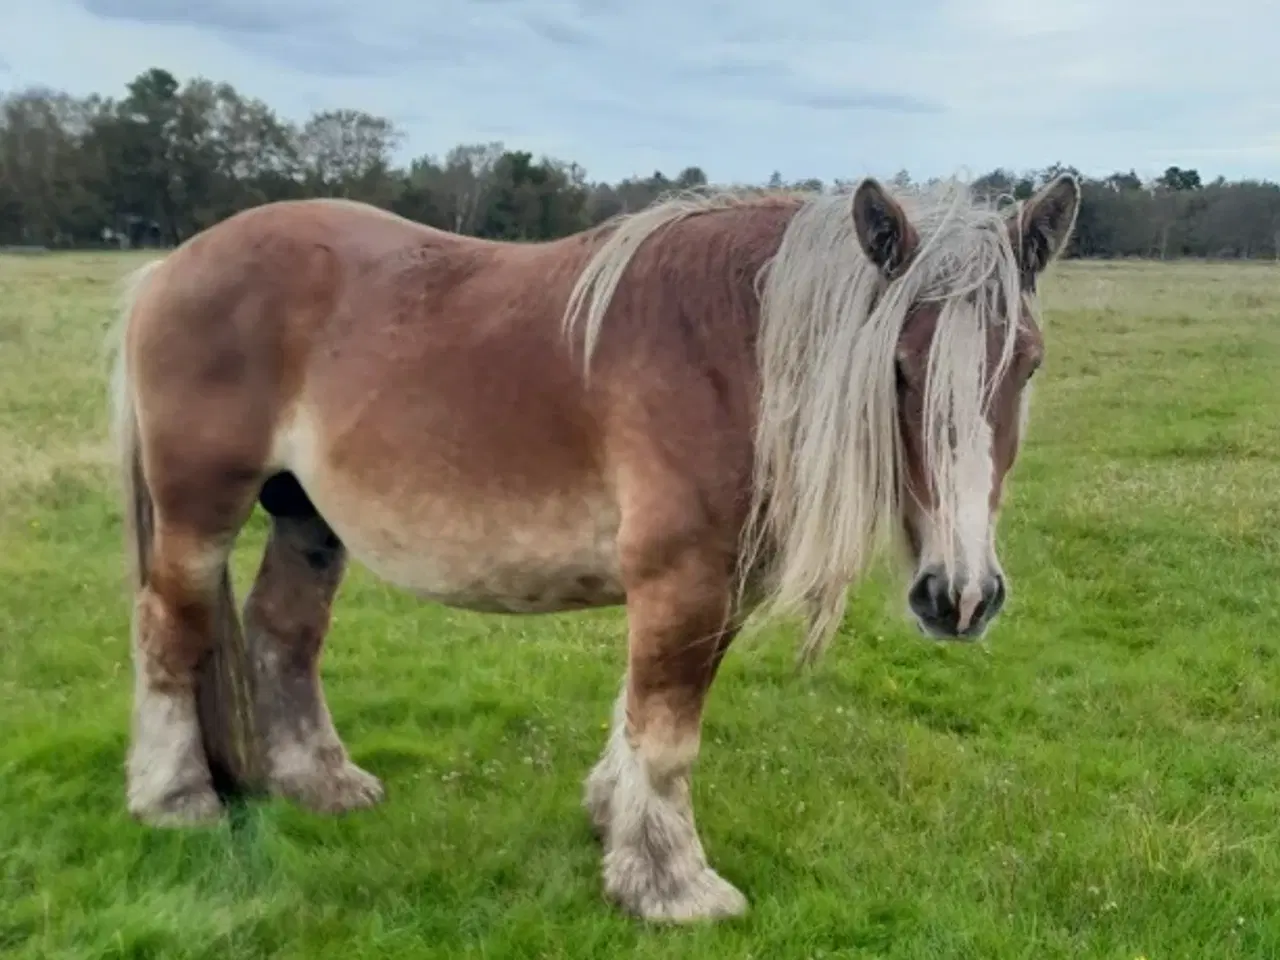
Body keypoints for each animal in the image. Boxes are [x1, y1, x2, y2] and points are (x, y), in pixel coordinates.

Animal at [107, 172, 1080, 926]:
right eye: (898, 368)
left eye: (1028, 364)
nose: (961, 598)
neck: (731, 347)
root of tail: (169, 267)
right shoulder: (683, 581)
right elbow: (668, 732)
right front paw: (672, 887)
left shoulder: (709, 586)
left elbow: (637, 717)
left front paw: (615, 827)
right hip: (200, 513)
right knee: (169, 633)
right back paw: (175, 799)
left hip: (306, 518)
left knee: (284, 633)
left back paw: (321, 784)